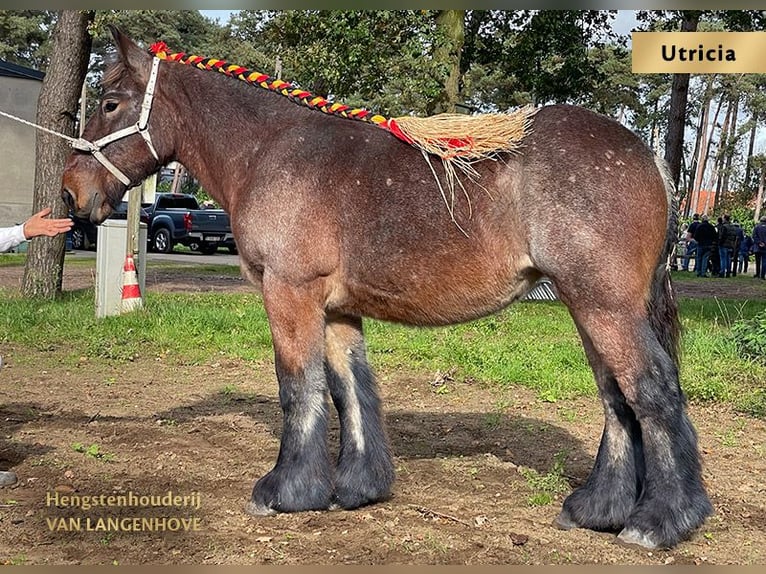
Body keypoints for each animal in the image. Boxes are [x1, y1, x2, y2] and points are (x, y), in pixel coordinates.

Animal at [60, 28, 712, 552]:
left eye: (110, 103)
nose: (70, 194)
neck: (269, 149)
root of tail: (650, 159)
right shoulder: (337, 310)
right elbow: (350, 392)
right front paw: (355, 488)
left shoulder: (289, 294)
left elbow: (298, 390)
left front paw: (285, 490)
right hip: (588, 308)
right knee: (616, 399)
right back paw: (597, 510)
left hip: (605, 307)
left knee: (652, 392)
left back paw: (657, 521)